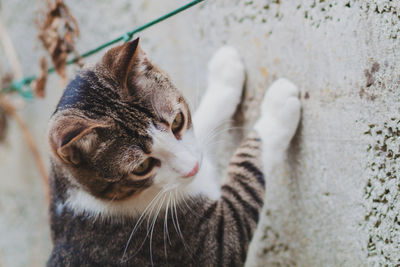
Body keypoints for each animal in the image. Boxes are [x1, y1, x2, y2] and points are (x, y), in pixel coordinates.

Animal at [46, 38, 300, 267]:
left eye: (178, 121)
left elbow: (203, 128)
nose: (193, 167)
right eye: (141, 167)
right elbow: (247, 171)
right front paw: (278, 110)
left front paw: (225, 73)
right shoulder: (205, 241)